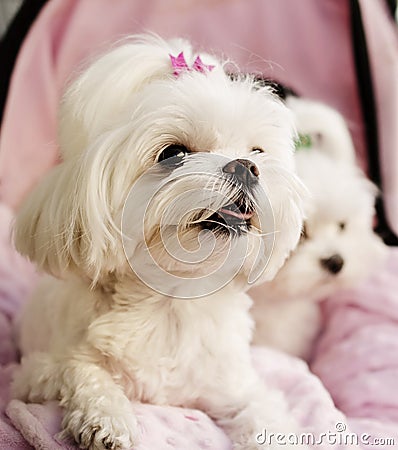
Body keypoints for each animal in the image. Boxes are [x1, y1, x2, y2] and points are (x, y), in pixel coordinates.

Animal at [11, 36, 304, 450]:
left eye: (257, 152)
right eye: (174, 153)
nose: (246, 167)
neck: (173, 305)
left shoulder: (234, 384)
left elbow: (263, 411)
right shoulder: (31, 376)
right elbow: (80, 369)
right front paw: (107, 417)